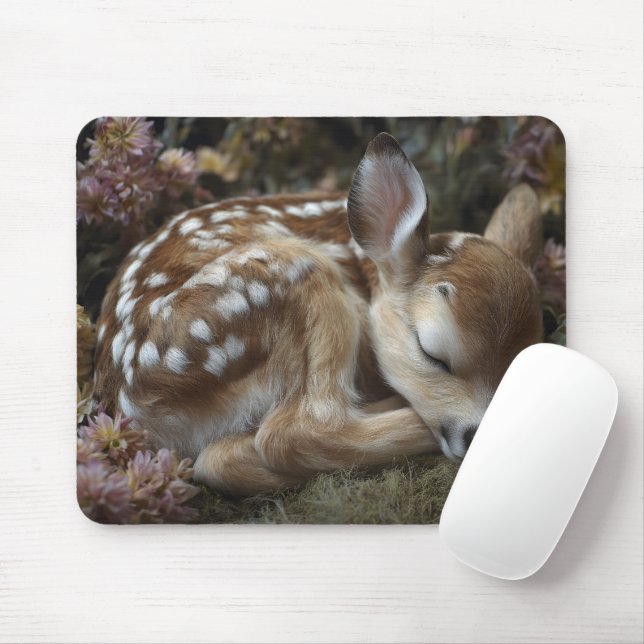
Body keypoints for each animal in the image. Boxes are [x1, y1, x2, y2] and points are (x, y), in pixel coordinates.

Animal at [93, 132, 544, 497]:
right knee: (297, 432)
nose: (478, 433)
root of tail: (133, 404)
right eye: (431, 352)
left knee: (219, 460)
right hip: (292, 278)